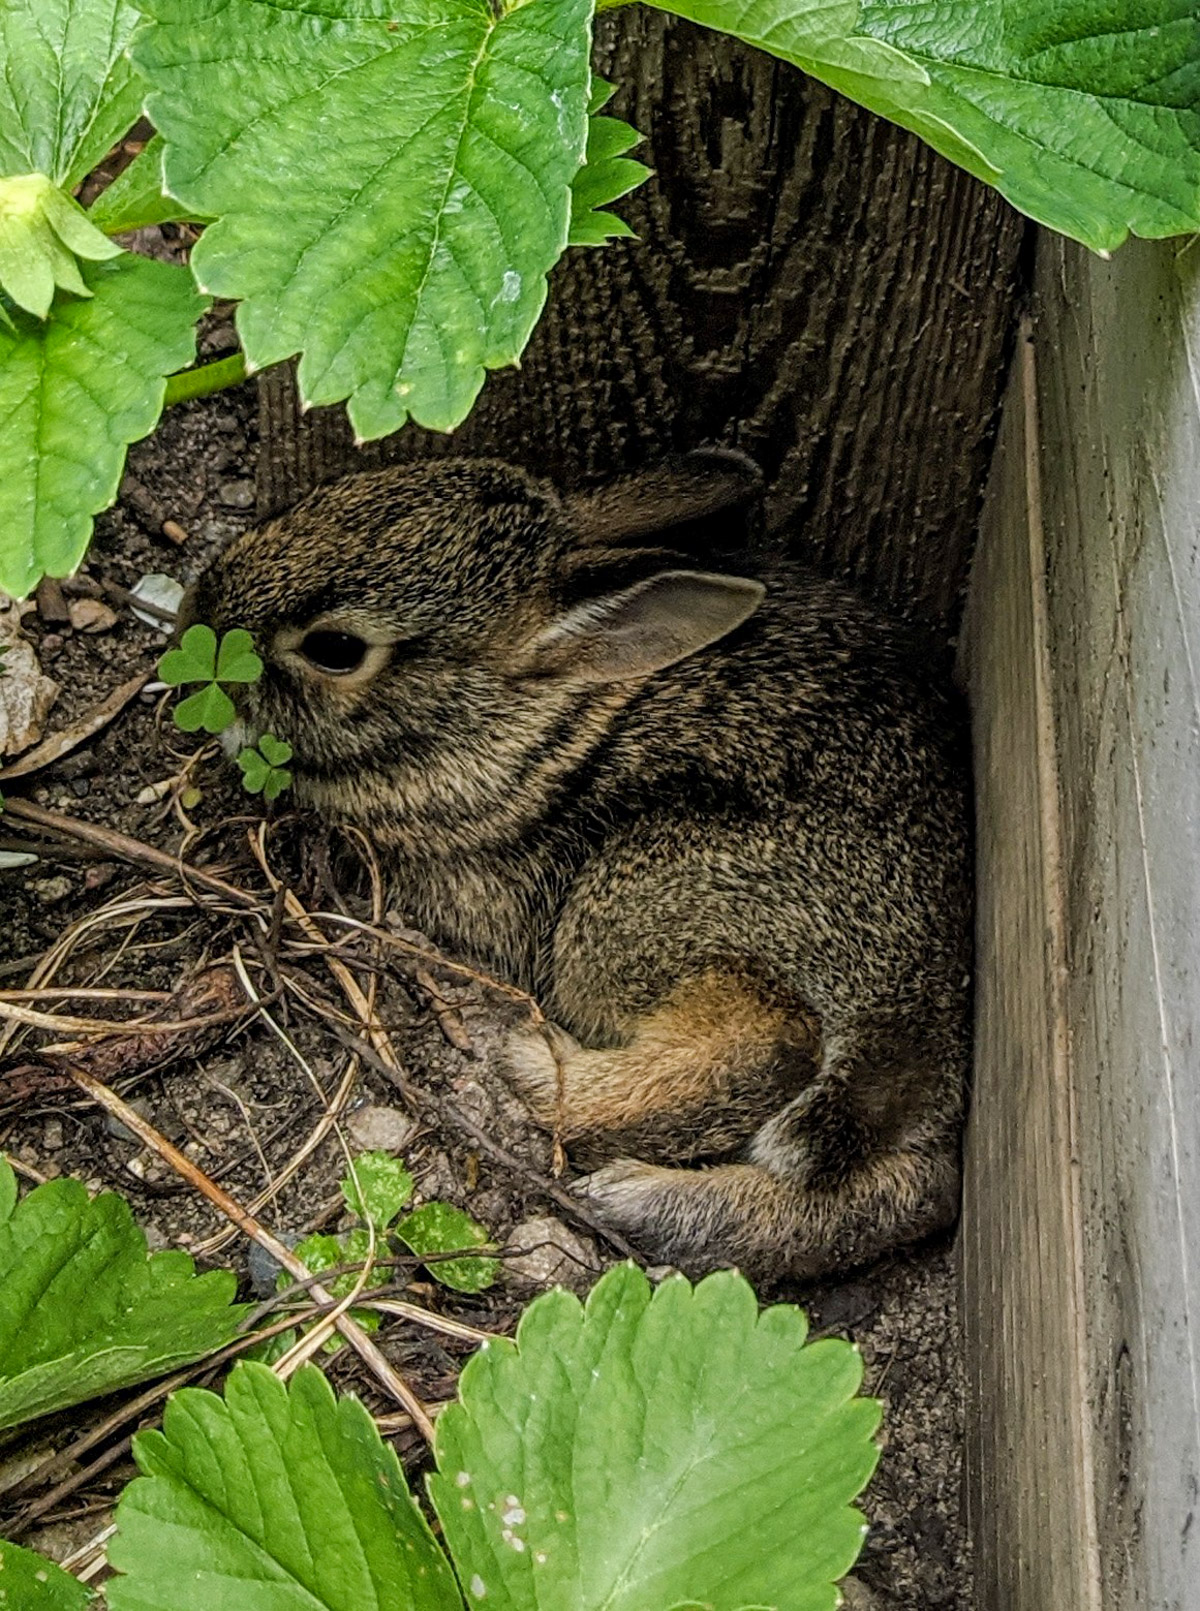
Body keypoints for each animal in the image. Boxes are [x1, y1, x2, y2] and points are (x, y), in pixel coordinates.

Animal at [189, 454, 972, 1282]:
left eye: (335, 648)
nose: (193, 616)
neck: (523, 724)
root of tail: (911, 1019)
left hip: (631, 904)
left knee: (769, 1045)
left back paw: (534, 1069)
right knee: (904, 1190)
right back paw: (660, 1209)